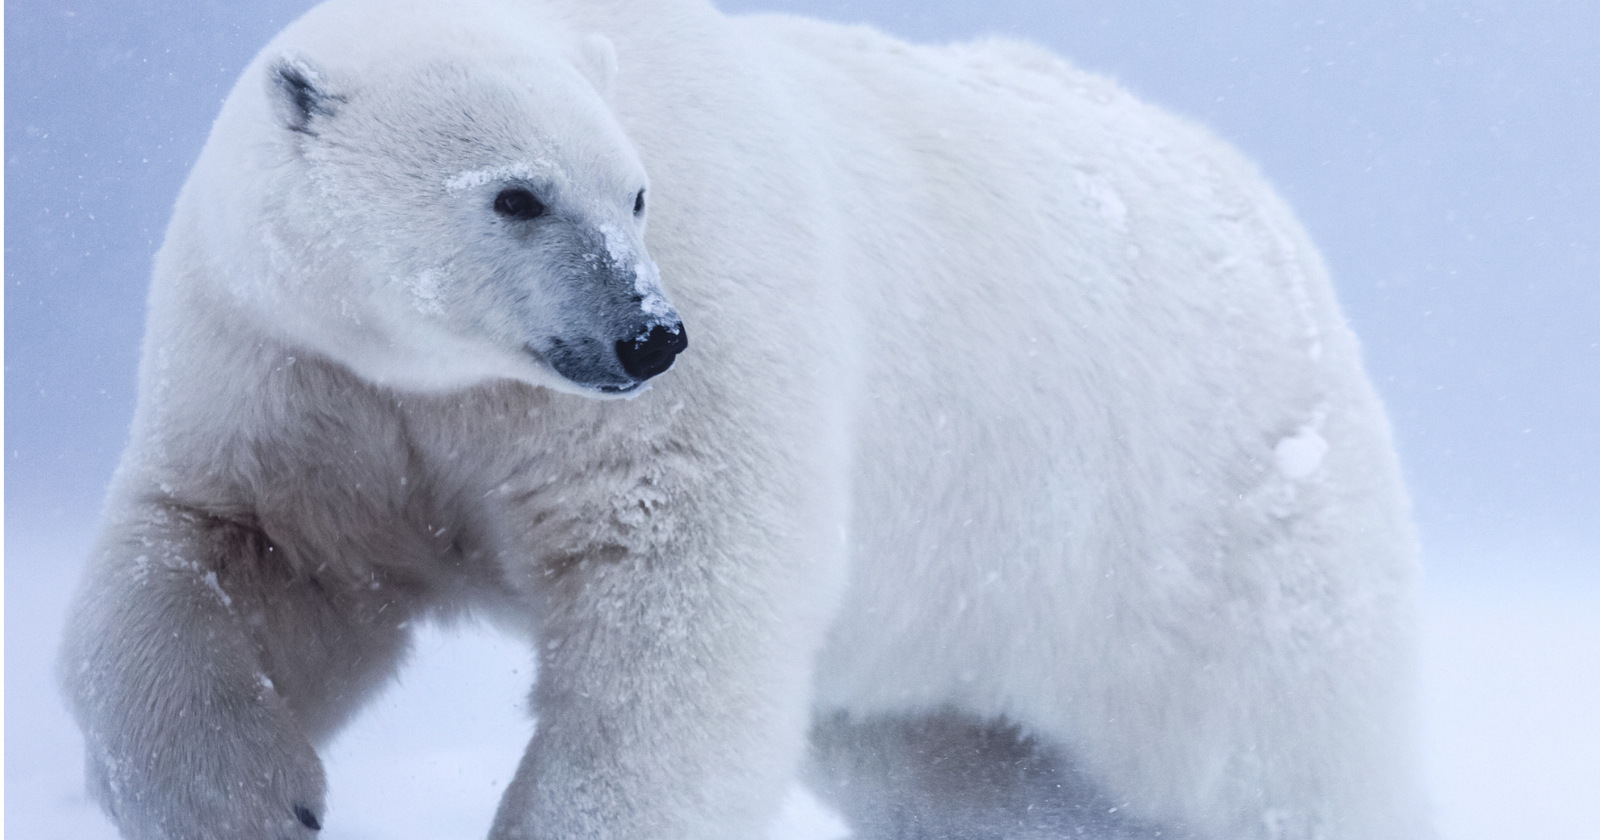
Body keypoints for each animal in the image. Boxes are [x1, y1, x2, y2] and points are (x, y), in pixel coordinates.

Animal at [58, 0, 1429, 838]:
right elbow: (242, 557)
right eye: (514, 195)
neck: (455, 381)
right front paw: (248, 799)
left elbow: (677, 614)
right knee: (955, 762)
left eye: (636, 193)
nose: (647, 336)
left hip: (1209, 537)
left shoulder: (706, 333)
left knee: (1282, 764)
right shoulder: (308, 376)